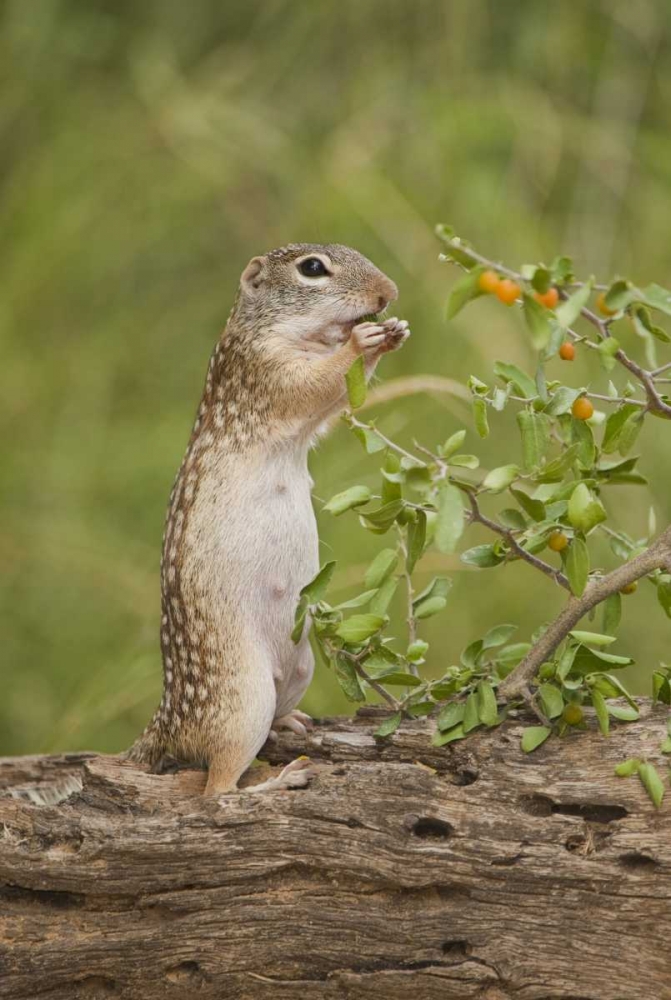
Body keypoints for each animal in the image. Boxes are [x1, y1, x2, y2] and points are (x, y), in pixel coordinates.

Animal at [126, 240, 410, 788]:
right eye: (313, 268)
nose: (388, 293)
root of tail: (168, 726)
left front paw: (394, 333)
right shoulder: (266, 370)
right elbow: (316, 383)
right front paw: (363, 340)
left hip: (299, 670)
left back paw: (291, 724)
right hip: (243, 703)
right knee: (216, 790)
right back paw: (278, 782)